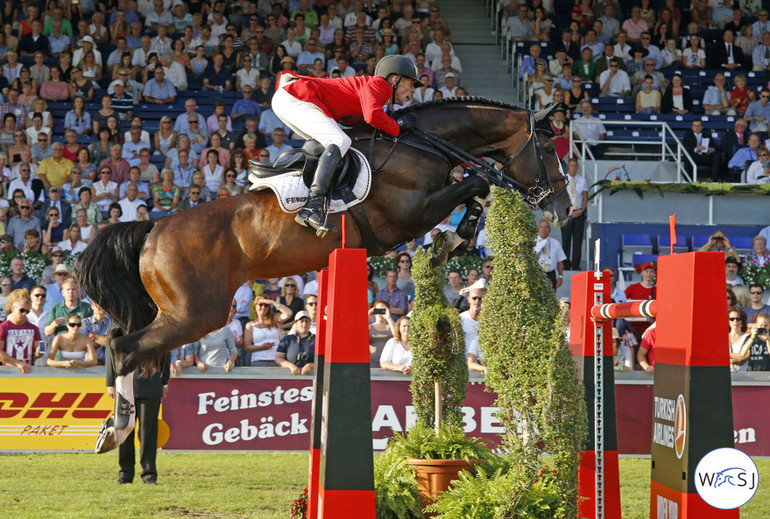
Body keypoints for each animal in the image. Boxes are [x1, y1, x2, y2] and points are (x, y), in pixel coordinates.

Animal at [76, 98, 568, 382]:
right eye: (548, 149)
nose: (563, 208)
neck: (424, 144)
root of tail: (154, 229)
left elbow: (477, 190)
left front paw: (454, 240)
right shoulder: (406, 217)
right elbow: (478, 184)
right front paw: (457, 237)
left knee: (125, 345)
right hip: (197, 314)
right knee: (123, 349)